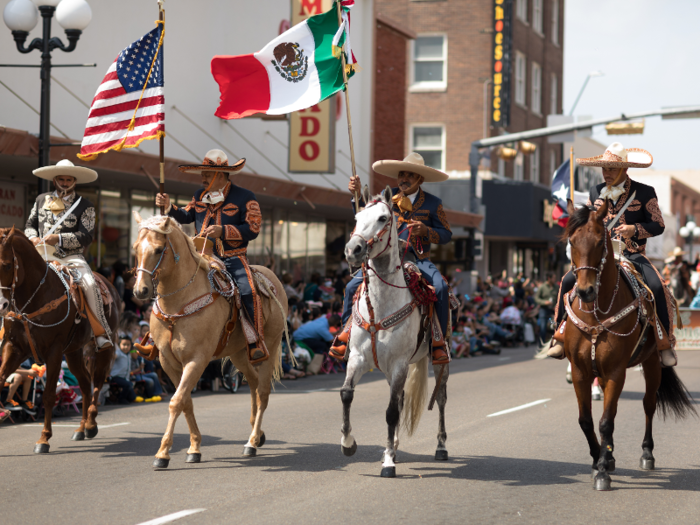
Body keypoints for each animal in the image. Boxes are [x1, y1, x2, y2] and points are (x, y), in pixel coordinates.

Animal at [0, 225, 120, 450]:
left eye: (6, 265)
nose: (1, 304)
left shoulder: (53, 352)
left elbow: (48, 396)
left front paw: (44, 438)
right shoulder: (14, 348)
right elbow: (1, 379)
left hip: (105, 346)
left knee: (97, 382)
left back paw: (91, 424)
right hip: (74, 351)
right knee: (85, 384)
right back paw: (80, 429)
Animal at [131, 213, 288, 466]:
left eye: (158, 249)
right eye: (136, 248)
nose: (140, 291)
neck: (179, 302)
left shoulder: (197, 359)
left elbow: (176, 401)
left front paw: (163, 453)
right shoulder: (168, 362)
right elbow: (185, 401)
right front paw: (194, 447)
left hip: (270, 348)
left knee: (263, 392)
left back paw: (251, 442)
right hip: (239, 353)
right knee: (253, 384)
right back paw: (257, 434)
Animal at [564, 202, 696, 492]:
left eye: (599, 242)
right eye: (571, 242)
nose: (585, 291)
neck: (596, 313)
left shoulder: (616, 371)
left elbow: (605, 422)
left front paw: (602, 471)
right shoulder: (580, 371)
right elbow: (586, 420)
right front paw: (598, 460)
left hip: (652, 363)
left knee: (648, 404)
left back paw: (646, 453)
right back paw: (610, 454)